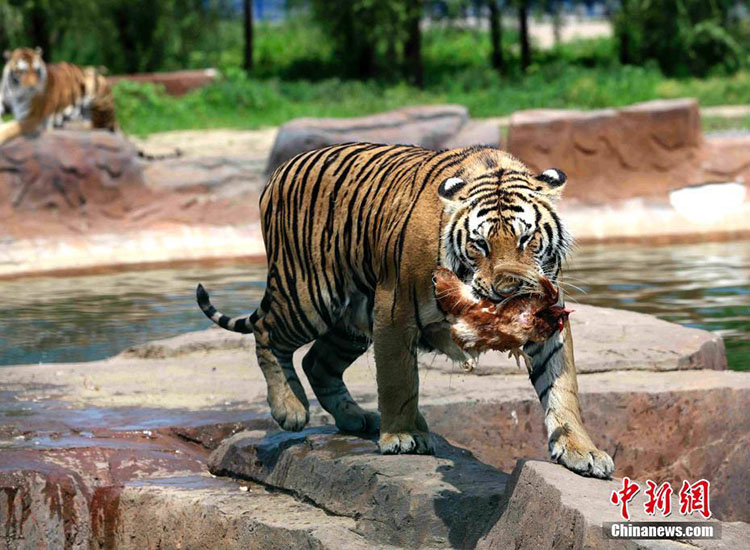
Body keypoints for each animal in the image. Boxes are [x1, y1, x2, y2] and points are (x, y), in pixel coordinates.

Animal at [197, 143, 615, 478]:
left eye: (527, 238)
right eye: (480, 244)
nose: (507, 291)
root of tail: (279, 170)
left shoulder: (549, 317)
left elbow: (562, 387)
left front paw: (582, 451)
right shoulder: (394, 311)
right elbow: (398, 380)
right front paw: (403, 435)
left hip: (350, 322)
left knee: (318, 362)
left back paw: (357, 418)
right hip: (309, 295)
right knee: (267, 333)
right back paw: (291, 409)